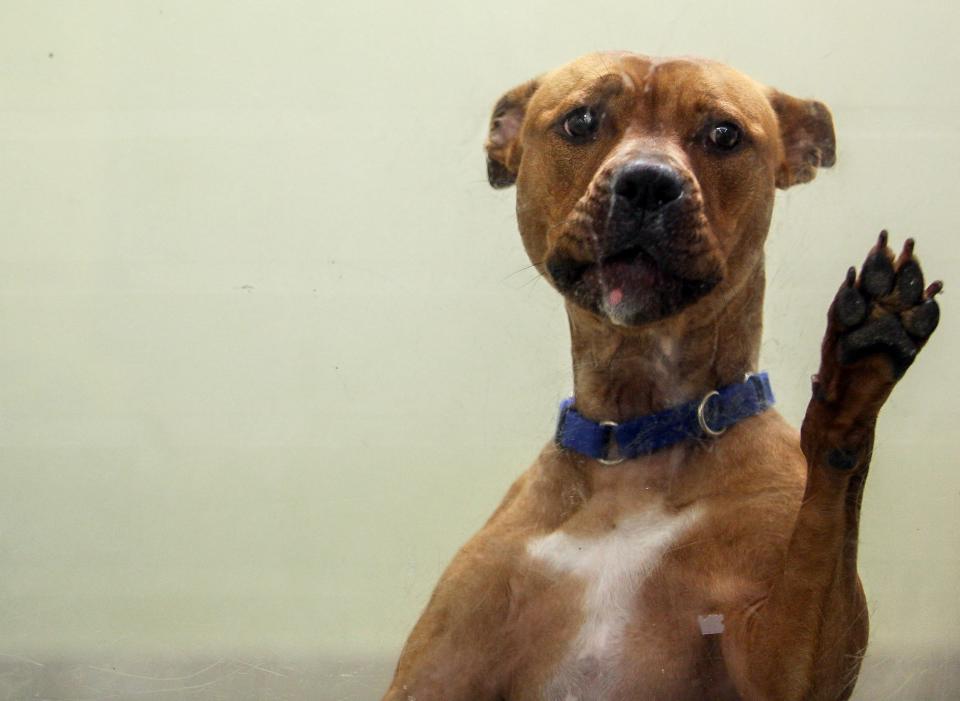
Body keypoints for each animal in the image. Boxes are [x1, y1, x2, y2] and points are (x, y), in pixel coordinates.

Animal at [380, 53, 936, 700]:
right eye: (580, 121)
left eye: (724, 134)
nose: (648, 181)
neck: (635, 444)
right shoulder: (436, 672)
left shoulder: (788, 660)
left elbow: (827, 517)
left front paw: (859, 372)